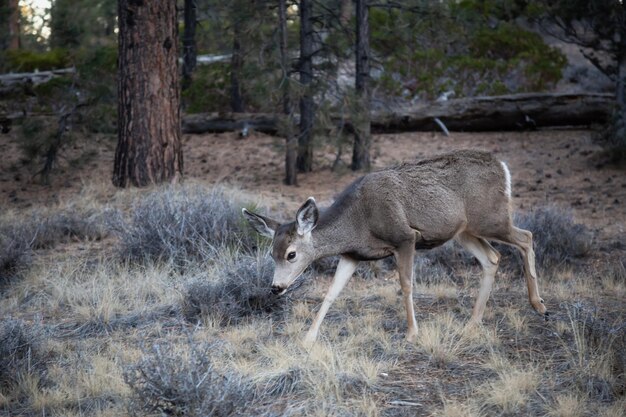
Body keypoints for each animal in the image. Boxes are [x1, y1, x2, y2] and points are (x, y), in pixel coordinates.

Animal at [241, 149, 544, 342]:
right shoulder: (353, 255)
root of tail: (502, 166)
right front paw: (309, 337)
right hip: (465, 231)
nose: (276, 287)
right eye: (271, 254)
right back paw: (473, 321)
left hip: (490, 218)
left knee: (526, 236)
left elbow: (406, 285)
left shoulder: (405, 238)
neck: (358, 222)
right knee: (492, 258)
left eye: (291, 254)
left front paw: (412, 333)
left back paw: (538, 305)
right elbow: (331, 293)